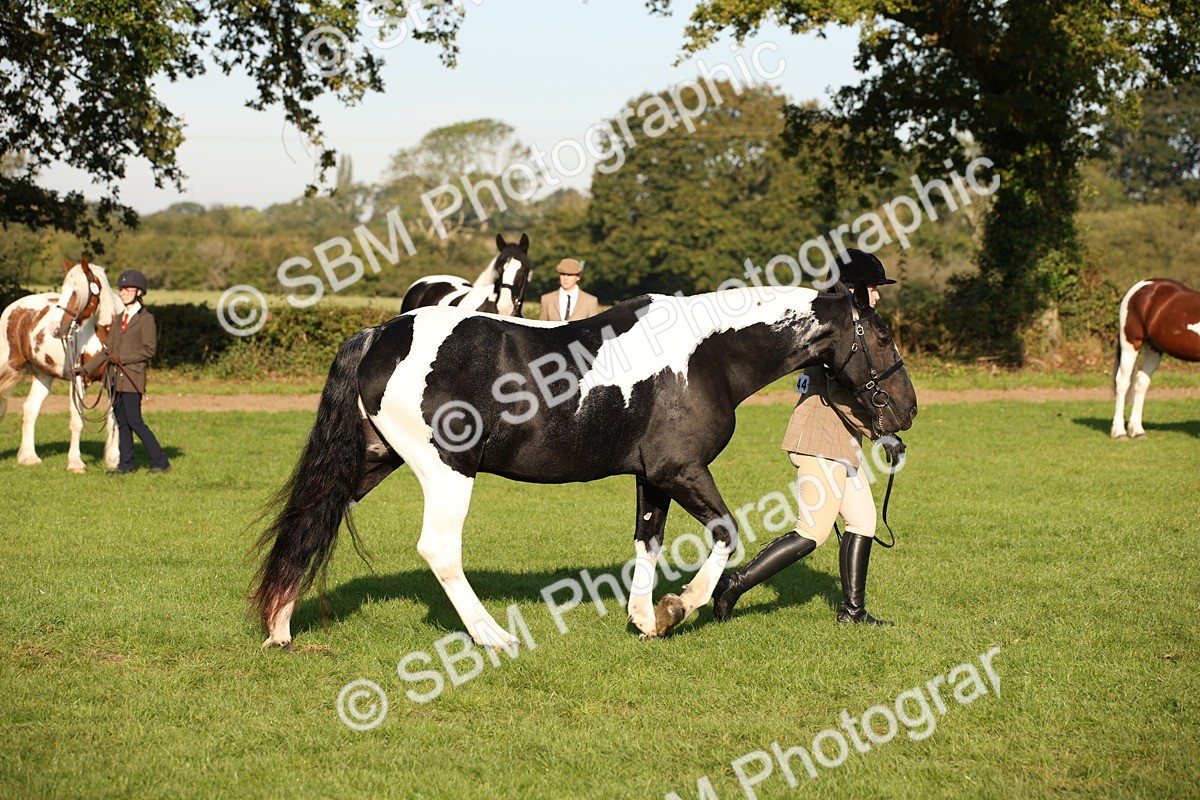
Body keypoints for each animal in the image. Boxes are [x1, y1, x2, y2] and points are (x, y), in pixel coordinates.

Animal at [0, 259, 122, 471]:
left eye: (76, 292)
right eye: (64, 289)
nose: (55, 328)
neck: (101, 336)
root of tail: (14, 308)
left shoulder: (112, 382)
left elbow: (113, 419)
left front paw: (113, 459)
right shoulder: (79, 381)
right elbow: (77, 421)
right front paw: (75, 463)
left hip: (43, 375)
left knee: (30, 409)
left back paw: (29, 457)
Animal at [253, 285, 918, 649]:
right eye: (883, 337)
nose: (907, 410)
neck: (707, 353)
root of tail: (379, 334)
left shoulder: (652, 477)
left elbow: (647, 543)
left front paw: (646, 619)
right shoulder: (682, 470)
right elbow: (727, 533)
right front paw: (682, 607)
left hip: (372, 460)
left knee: (315, 517)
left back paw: (280, 627)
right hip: (447, 472)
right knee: (438, 550)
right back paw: (493, 637)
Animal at [1111, 278, 1200, 439]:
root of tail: (1142, 285)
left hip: (1154, 349)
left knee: (1141, 381)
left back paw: (1137, 431)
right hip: (1131, 344)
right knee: (1122, 382)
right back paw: (1119, 432)